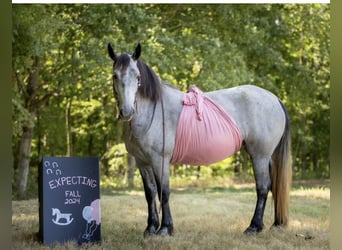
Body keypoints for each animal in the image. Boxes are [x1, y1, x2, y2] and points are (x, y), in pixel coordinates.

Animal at [106, 43, 292, 236]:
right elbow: (150, 193)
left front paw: (165, 229)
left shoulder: (160, 160)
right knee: (271, 186)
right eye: (115, 75)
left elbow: (164, 192)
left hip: (259, 156)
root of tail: (275, 98)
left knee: (263, 187)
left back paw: (254, 226)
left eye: (137, 77)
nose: (127, 111)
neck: (152, 111)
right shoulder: (142, 162)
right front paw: (150, 228)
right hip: (266, 157)